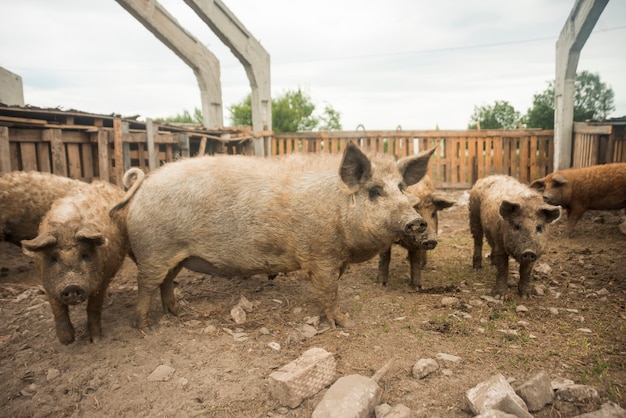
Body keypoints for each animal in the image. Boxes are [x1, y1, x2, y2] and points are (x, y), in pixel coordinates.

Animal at [21, 180, 132, 346]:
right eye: (53, 258)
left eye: (84, 254)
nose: (71, 286)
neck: (67, 227)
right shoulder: (47, 283)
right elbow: (58, 310)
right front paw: (67, 341)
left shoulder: (102, 280)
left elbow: (94, 307)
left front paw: (95, 340)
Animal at [111, 142, 434, 332]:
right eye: (375, 191)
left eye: (401, 187)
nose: (418, 222)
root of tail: (145, 182)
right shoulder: (321, 256)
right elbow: (329, 291)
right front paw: (344, 322)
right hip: (153, 251)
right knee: (146, 285)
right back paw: (145, 327)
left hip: (174, 255)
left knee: (166, 281)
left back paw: (177, 312)